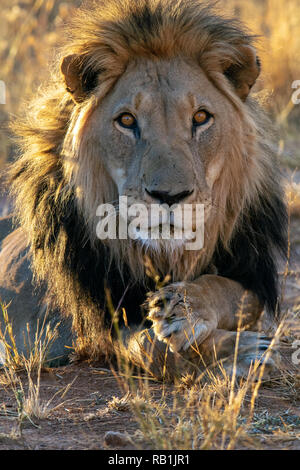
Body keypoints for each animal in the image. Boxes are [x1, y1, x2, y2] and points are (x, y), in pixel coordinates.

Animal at [0, 0, 286, 380]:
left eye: (200, 117)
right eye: (126, 120)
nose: (169, 196)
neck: (164, 256)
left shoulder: (248, 273)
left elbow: (227, 290)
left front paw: (184, 308)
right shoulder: (95, 324)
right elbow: (150, 346)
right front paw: (238, 351)